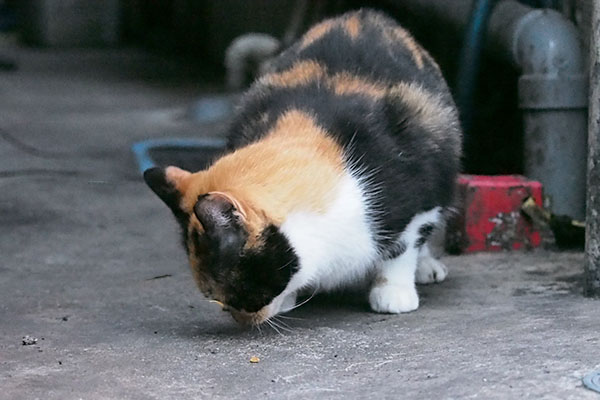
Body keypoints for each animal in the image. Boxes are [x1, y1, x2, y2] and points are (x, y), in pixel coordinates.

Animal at [143, 9, 462, 326]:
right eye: (218, 300)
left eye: (240, 291)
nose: (240, 319)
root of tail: (365, 14)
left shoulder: (420, 194)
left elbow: (403, 246)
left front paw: (393, 292)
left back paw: (427, 267)